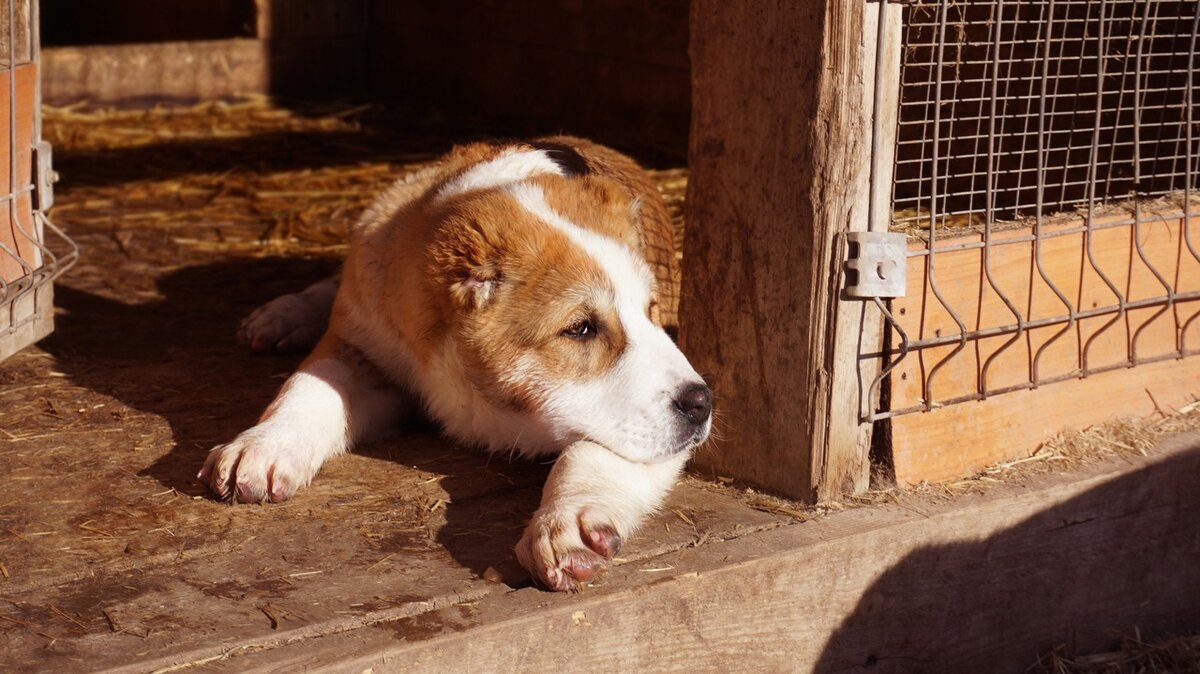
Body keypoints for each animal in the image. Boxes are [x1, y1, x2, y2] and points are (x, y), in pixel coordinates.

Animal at [199, 136, 710, 587]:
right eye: (581, 328)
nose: (703, 403)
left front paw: (571, 523)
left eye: (651, 312)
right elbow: (310, 385)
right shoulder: (363, 344)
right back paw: (281, 315)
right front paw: (262, 445)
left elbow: (595, 451)